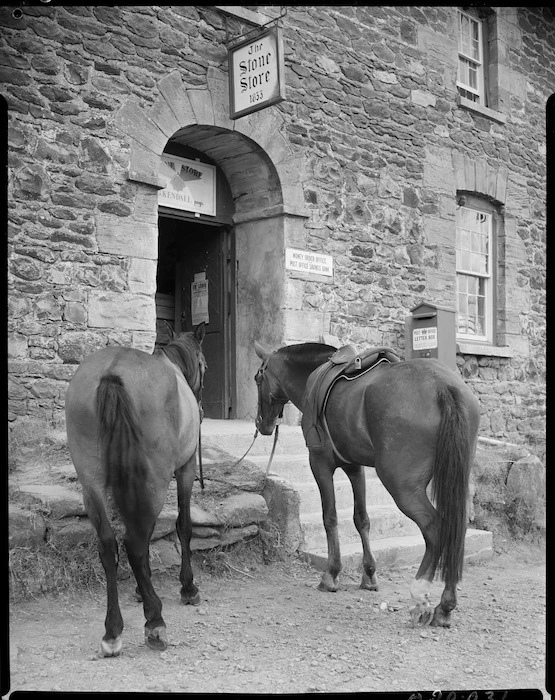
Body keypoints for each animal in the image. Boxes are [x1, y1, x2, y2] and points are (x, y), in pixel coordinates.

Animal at [63, 324, 206, 656]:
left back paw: (112, 631)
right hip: (155, 480)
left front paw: (143, 590)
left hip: (91, 482)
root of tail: (112, 372)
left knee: (108, 545)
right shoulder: (185, 469)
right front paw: (187, 587)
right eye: (204, 366)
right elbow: (183, 526)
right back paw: (154, 622)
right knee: (135, 543)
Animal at [254, 340, 480, 628]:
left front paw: (331, 574)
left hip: (402, 487)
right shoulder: (355, 467)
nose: (262, 424)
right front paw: (369, 575)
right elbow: (361, 519)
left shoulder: (319, 463)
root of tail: (444, 386)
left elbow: (330, 518)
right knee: (454, 529)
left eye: (257, 378)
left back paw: (420, 597)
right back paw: (445, 606)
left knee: (435, 528)